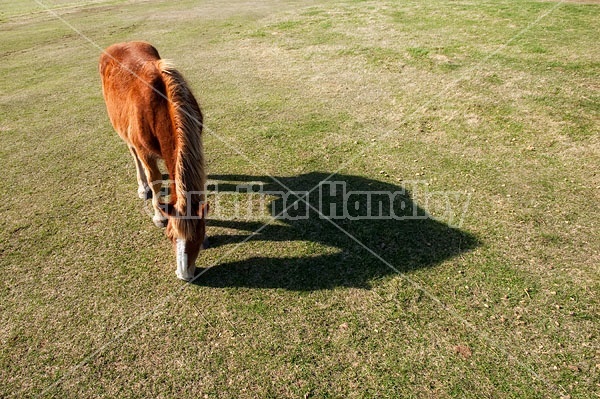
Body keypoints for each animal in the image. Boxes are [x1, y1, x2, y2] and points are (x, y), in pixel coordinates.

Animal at [99, 41, 207, 282]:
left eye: (198, 237)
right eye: (170, 237)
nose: (184, 275)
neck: (159, 103)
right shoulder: (145, 152)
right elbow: (155, 179)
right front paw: (158, 215)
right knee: (134, 156)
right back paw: (142, 187)